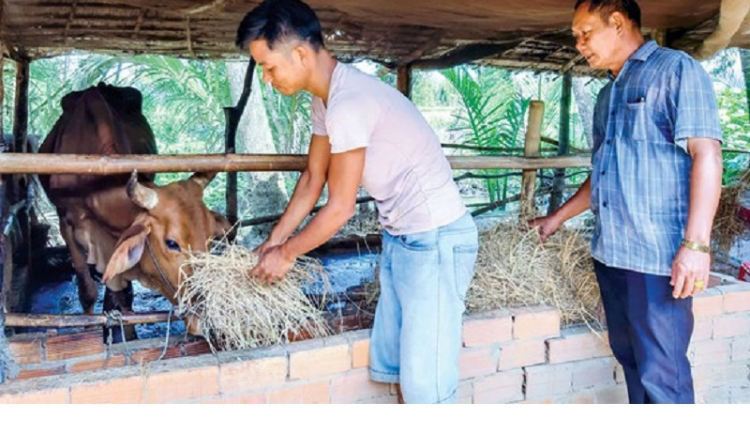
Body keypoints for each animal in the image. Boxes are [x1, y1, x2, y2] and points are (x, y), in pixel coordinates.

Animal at [39, 84, 228, 338]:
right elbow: (87, 290)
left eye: (209, 239)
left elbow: (123, 294)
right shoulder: (66, 222)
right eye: (171, 243)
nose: (205, 317)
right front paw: (90, 330)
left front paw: (127, 333)